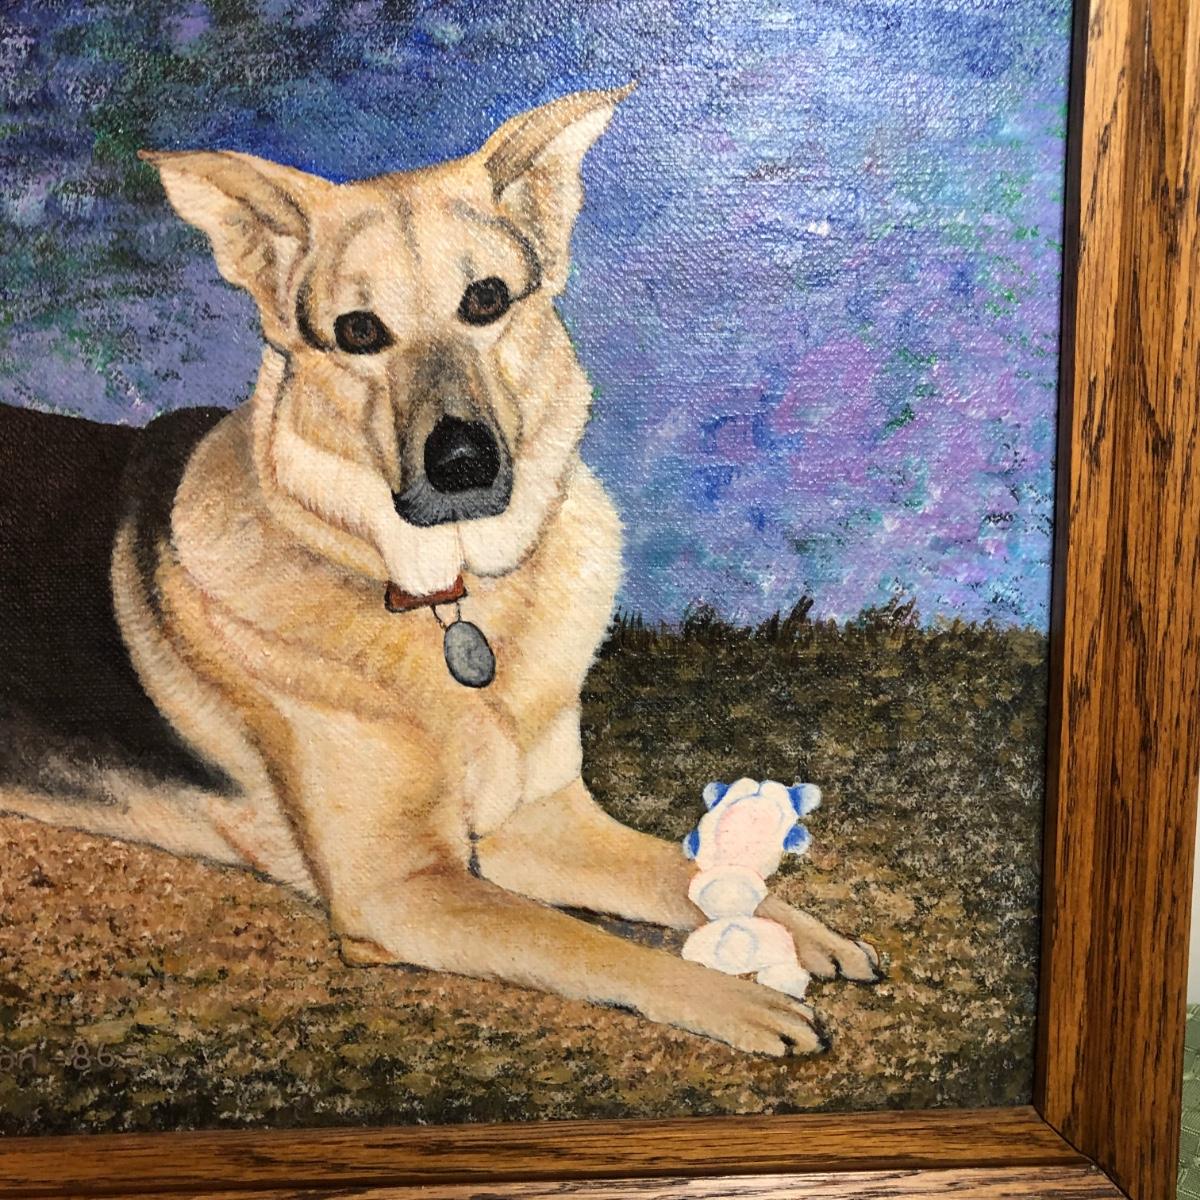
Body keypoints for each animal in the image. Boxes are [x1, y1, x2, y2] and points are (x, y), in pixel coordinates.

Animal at [0, 85, 878, 1056]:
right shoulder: (399, 887)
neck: (449, 599)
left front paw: (790, 928)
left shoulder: (537, 823)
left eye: (486, 299)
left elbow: (674, 874)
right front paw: (729, 996)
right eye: (358, 332)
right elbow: (577, 942)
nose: (462, 462)